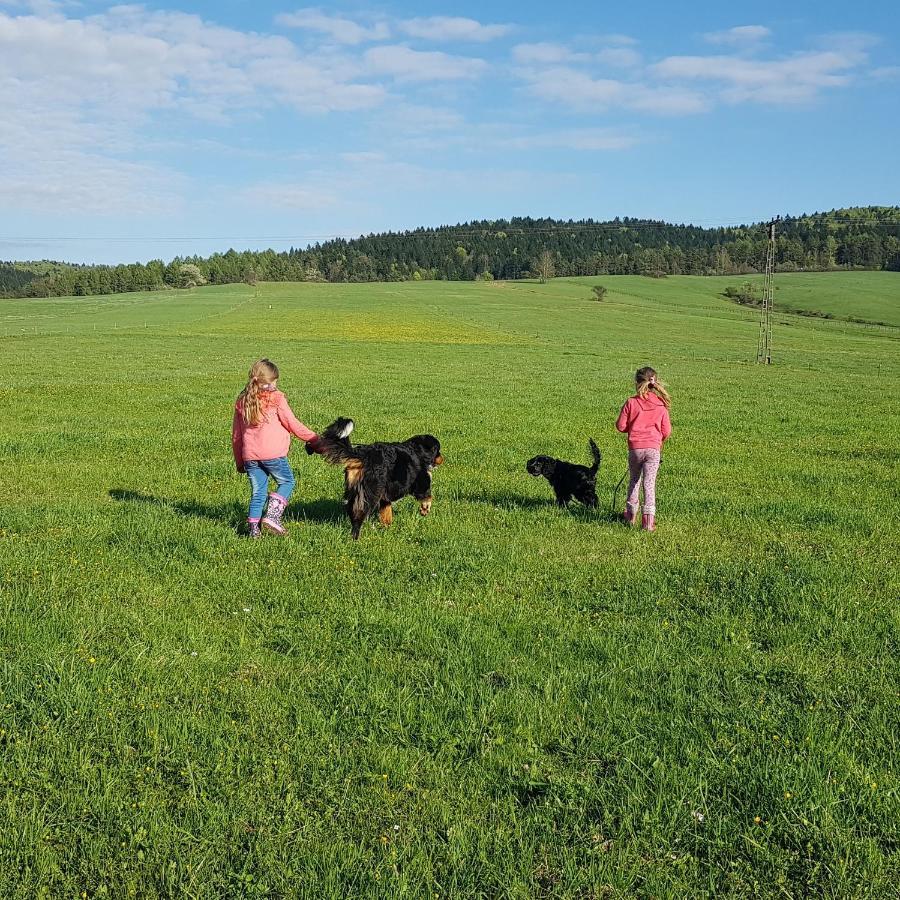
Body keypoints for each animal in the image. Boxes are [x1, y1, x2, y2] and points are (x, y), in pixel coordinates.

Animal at [308, 418, 444, 536]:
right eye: (438, 451)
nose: (443, 459)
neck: (418, 450)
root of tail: (363, 454)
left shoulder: (385, 496)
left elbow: (386, 514)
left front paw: (386, 528)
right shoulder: (422, 482)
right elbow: (428, 497)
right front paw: (424, 510)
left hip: (354, 491)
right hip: (370, 493)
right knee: (359, 516)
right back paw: (355, 538)